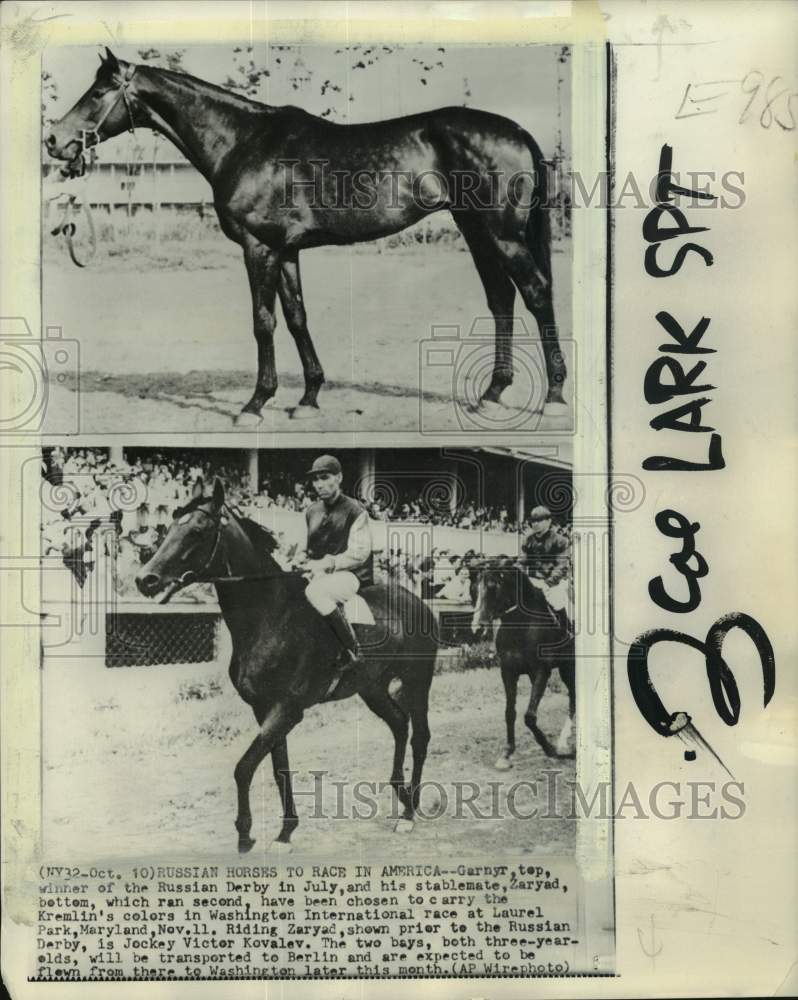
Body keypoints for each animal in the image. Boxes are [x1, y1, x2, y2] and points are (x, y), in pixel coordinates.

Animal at [45, 48, 568, 424]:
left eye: (99, 92)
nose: (54, 141)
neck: (242, 140)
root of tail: (517, 130)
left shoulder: (258, 248)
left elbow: (263, 322)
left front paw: (256, 404)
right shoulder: (286, 250)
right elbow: (297, 317)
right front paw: (309, 397)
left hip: (501, 235)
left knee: (536, 292)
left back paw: (555, 396)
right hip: (476, 231)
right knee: (501, 299)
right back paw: (492, 393)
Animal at [136, 478, 438, 852]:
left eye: (197, 530)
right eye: (168, 527)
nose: (145, 579)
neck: (271, 616)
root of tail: (418, 602)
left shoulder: (288, 709)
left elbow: (244, 767)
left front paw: (245, 834)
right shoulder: (264, 708)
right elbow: (279, 767)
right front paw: (285, 832)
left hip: (417, 681)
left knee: (420, 736)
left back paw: (409, 813)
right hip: (372, 688)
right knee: (399, 723)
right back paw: (403, 796)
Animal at [472, 564, 580, 764]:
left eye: (493, 587)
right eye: (475, 589)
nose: (478, 627)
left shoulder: (541, 671)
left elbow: (529, 716)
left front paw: (549, 749)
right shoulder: (508, 671)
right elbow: (510, 712)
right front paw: (507, 752)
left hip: (570, 667)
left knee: (574, 697)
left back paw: (562, 742)